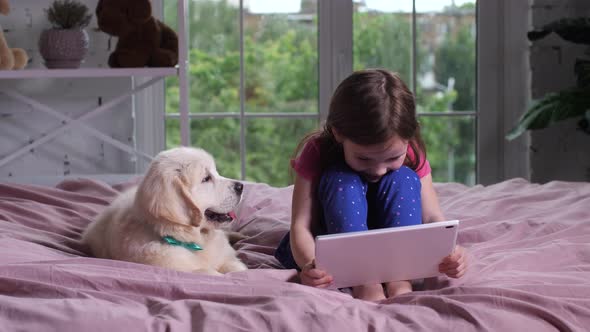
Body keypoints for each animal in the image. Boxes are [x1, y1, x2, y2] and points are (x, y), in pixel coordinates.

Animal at [81, 147, 247, 274]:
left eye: (216, 172)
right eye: (206, 178)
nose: (241, 186)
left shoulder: (225, 257)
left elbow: (237, 268)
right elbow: (209, 273)